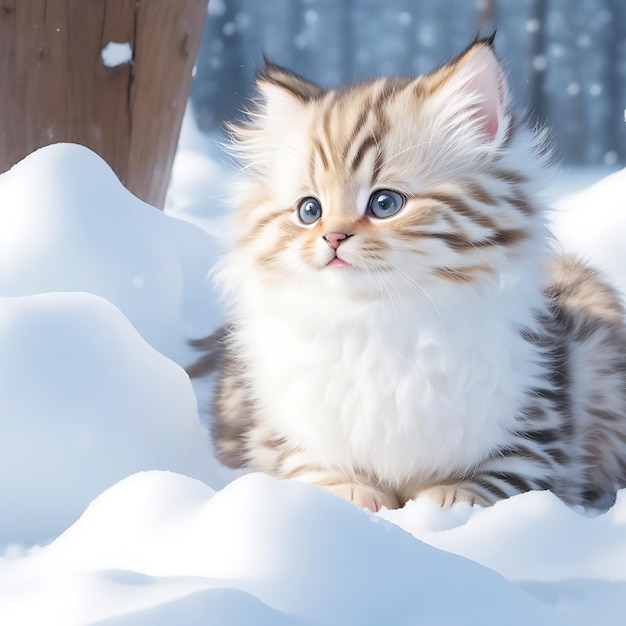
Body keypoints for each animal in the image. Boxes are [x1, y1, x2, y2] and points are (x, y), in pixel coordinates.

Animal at [197, 34, 624, 510]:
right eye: (309, 211)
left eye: (385, 204)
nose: (332, 238)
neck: (378, 319)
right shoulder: (278, 431)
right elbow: (319, 471)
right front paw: (355, 499)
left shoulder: (537, 435)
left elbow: (486, 485)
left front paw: (441, 504)